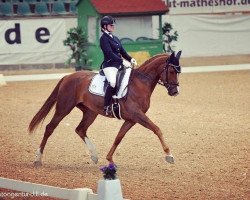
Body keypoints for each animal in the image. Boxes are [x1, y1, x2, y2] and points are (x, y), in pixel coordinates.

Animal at [28, 50, 182, 166]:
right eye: (172, 71)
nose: (175, 92)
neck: (140, 83)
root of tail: (67, 76)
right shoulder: (137, 115)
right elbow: (157, 129)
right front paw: (169, 155)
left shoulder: (131, 119)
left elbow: (118, 137)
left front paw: (109, 159)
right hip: (63, 108)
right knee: (50, 128)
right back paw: (38, 159)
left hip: (90, 112)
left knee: (80, 129)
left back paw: (94, 155)